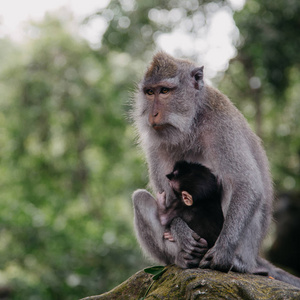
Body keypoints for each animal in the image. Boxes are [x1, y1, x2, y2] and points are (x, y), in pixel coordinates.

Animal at [132, 51, 300, 288]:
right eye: (149, 92)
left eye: (164, 91)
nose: (153, 114)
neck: (192, 122)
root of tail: (255, 257)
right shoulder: (155, 142)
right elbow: (166, 196)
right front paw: (181, 231)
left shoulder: (221, 124)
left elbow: (246, 183)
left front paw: (222, 251)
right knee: (140, 199)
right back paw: (181, 258)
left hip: (246, 246)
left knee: (232, 185)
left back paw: (237, 262)